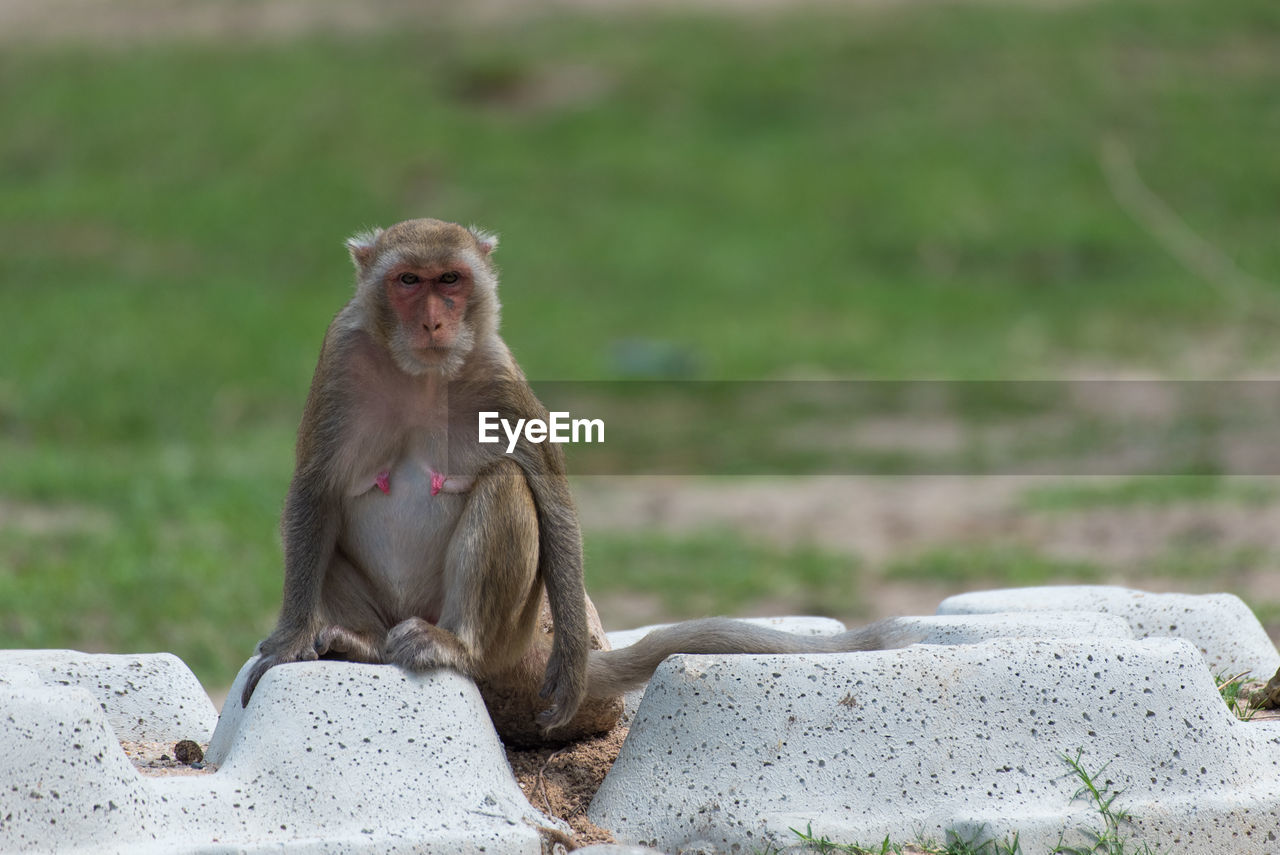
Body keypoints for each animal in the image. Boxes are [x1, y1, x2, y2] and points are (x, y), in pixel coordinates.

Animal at [240, 218, 916, 742]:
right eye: (409, 281)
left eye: (450, 281)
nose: (434, 323)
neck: (422, 376)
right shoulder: (341, 359)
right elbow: (314, 490)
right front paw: (290, 640)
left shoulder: (496, 369)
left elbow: (548, 489)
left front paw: (569, 666)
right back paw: (361, 646)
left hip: (508, 628)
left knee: (505, 486)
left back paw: (456, 646)